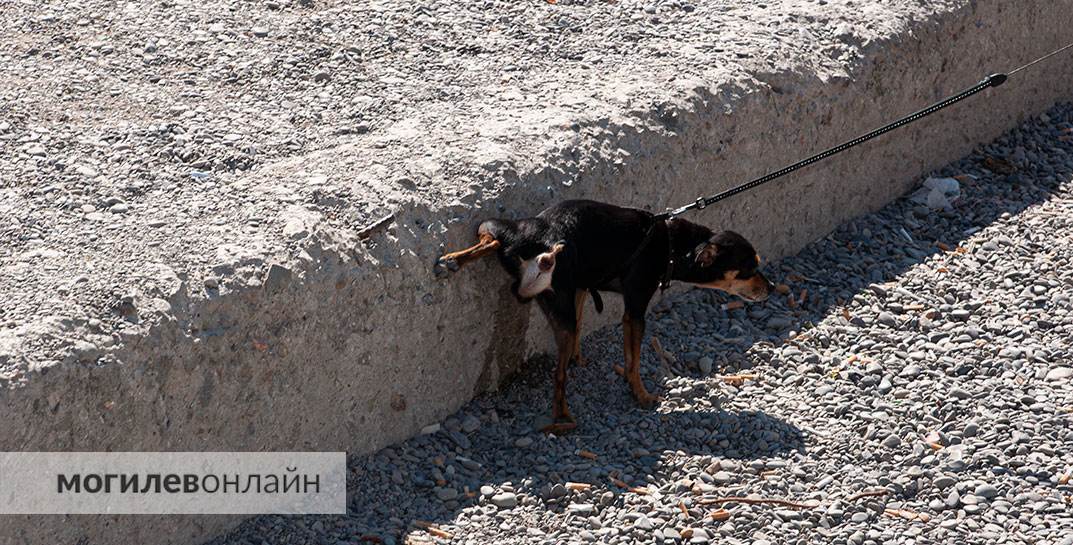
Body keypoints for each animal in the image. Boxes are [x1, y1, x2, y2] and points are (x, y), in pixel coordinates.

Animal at [435, 198, 772, 431]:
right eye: (748, 270)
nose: (770, 288)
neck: (674, 246)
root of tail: (538, 245)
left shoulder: (582, 286)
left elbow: (584, 322)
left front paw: (579, 358)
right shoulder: (634, 312)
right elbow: (633, 362)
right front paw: (642, 396)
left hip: (505, 232)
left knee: (488, 237)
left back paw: (454, 259)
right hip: (561, 308)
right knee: (558, 375)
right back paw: (562, 417)